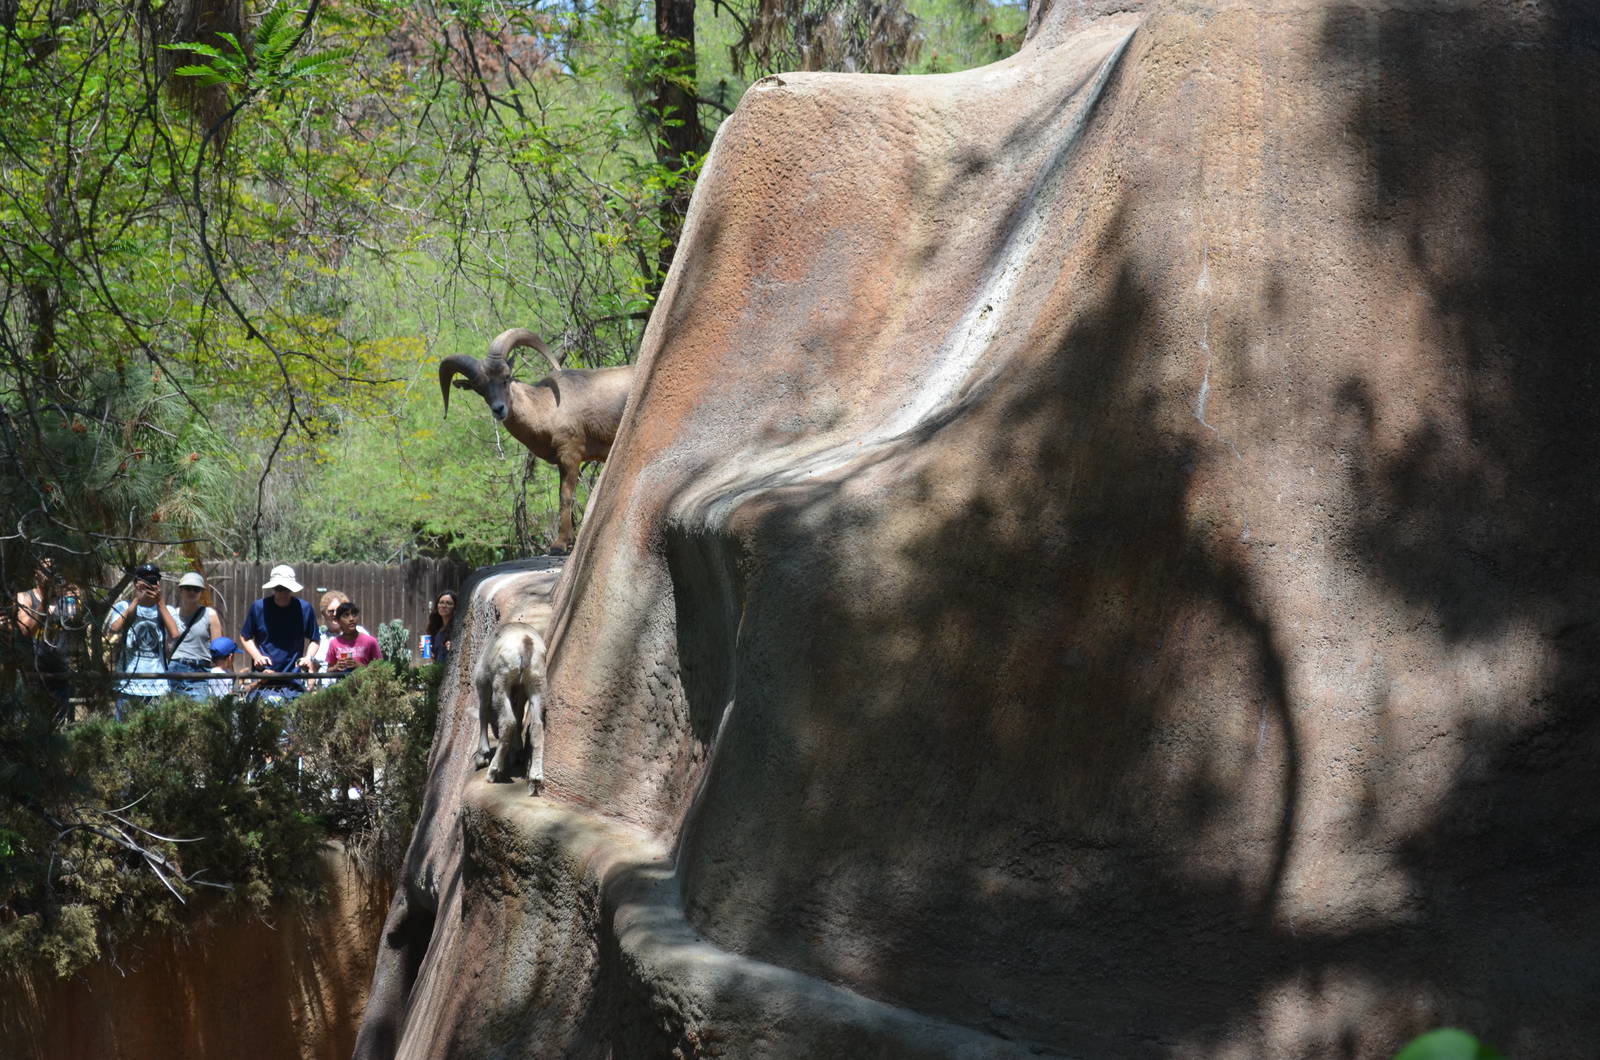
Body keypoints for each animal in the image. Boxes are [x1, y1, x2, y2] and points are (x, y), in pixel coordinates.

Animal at [440, 329, 635, 554]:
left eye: (506, 378)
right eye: (479, 389)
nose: (499, 409)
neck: (546, 407)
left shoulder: (570, 455)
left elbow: (565, 497)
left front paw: (560, 543)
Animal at [471, 621, 549, 796]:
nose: (495, 733)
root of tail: (526, 642)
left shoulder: (483, 682)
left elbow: (483, 712)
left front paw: (481, 756)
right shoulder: (521, 693)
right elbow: (519, 715)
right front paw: (517, 752)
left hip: (502, 681)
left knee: (508, 722)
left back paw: (493, 771)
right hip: (537, 683)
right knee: (536, 726)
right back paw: (535, 778)